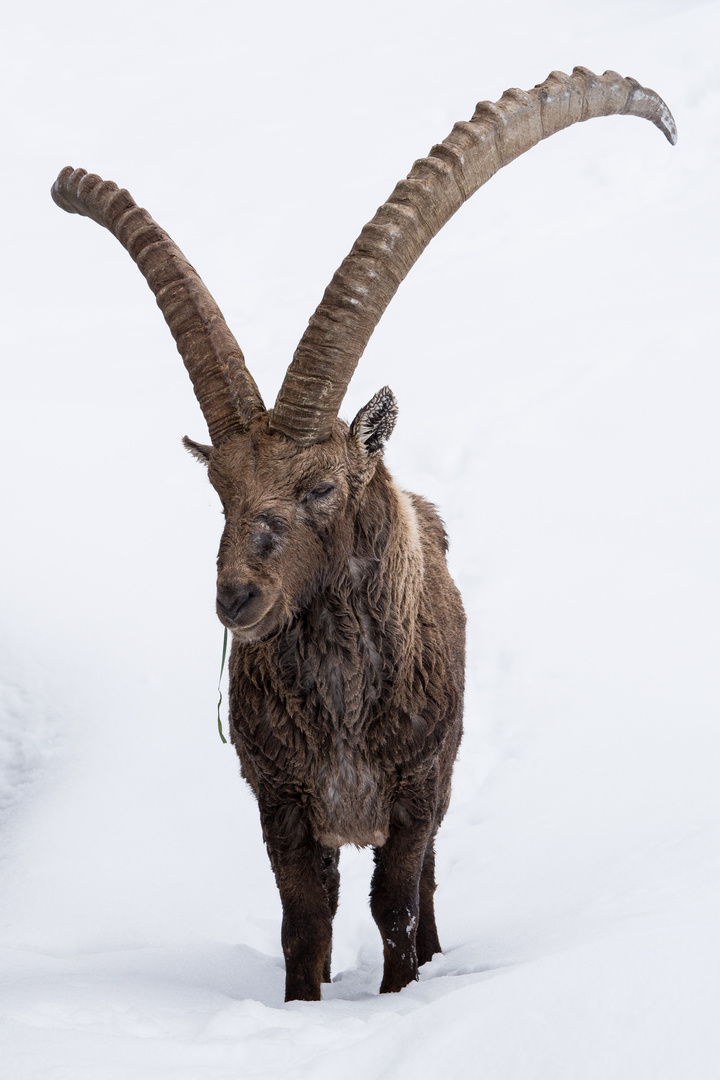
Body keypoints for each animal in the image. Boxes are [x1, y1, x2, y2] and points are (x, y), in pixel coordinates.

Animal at [52, 65, 677, 993]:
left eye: (318, 486)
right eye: (218, 486)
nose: (237, 598)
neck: (343, 699)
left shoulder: (415, 788)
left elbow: (396, 906)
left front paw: (400, 995)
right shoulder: (280, 799)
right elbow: (305, 922)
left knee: (426, 885)